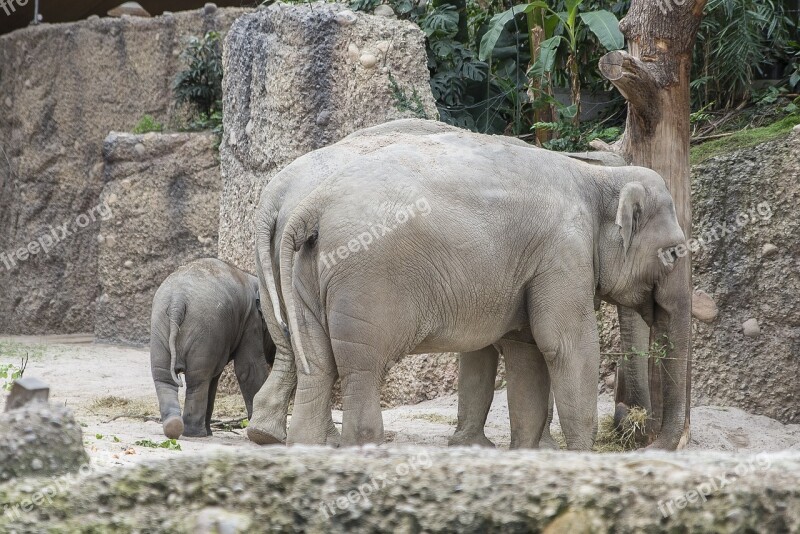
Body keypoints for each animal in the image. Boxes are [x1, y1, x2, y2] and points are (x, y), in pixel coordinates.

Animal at [149, 260, 276, 440]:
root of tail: (177, 301)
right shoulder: (251, 321)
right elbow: (248, 370)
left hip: (160, 326)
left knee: (165, 377)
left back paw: (175, 427)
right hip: (203, 329)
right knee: (198, 379)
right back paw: (196, 433)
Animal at [274, 127, 688, 450]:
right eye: (673, 253)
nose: (646, 437)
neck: (596, 177)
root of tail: (313, 205)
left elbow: (526, 352)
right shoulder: (562, 254)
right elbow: (566, 347)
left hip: (304, 278)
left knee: (317, 368)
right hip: (364, 282)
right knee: (361, 370)